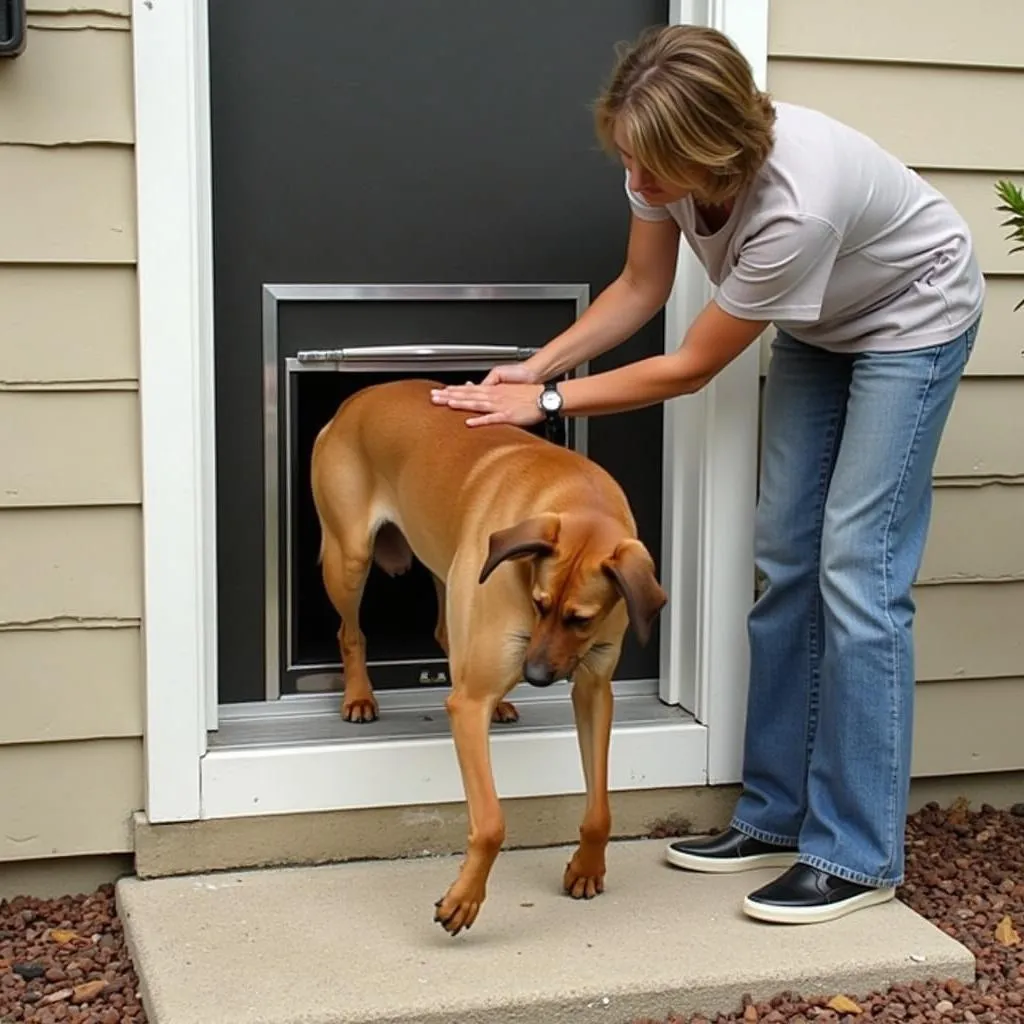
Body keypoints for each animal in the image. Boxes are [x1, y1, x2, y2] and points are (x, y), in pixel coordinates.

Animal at [307, 378, 667, 937]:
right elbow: (493, 822)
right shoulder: (468, 704)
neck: (573, 496)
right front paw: (464, 899)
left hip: (445, 564)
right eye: (539, 604)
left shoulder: (593, 690)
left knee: (443, 631)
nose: (536, 675)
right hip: (349, 558)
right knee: (351, 631)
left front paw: (587, 867)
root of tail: (356, 400)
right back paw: (360, 697)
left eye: (581, 619)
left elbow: (600, 807)